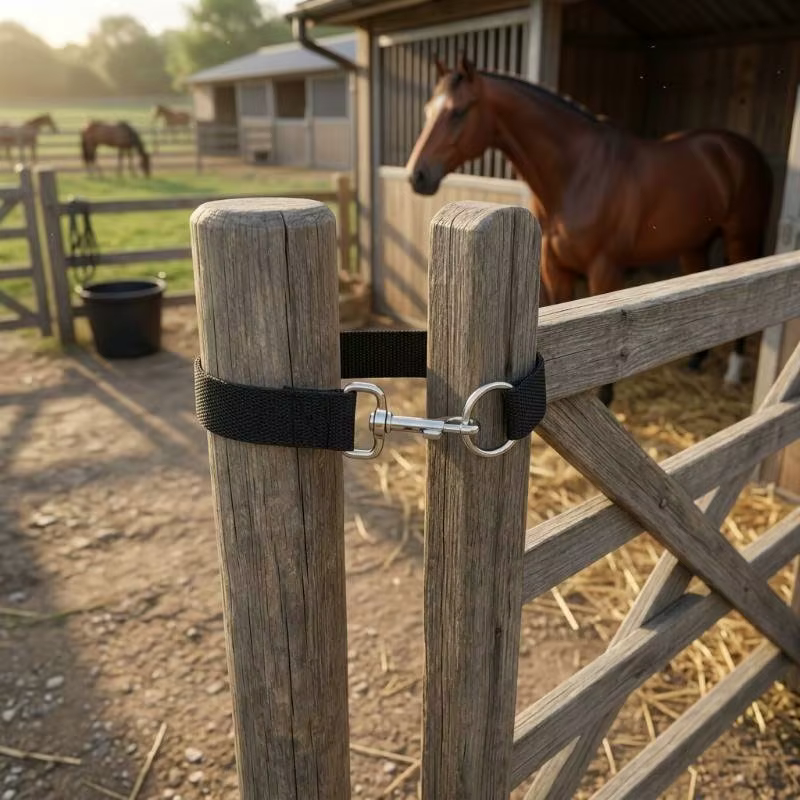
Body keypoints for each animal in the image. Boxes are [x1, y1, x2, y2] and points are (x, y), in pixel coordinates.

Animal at [406, 56, 773, 406]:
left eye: (459, 111)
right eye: (427, 110)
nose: (416, 175)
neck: (578, 173)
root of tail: (739, 150)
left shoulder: (603, 270)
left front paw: (605, 398)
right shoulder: (556, 269)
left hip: (741, 239)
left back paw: (733, 373)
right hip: (693, 245)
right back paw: (696, 361)